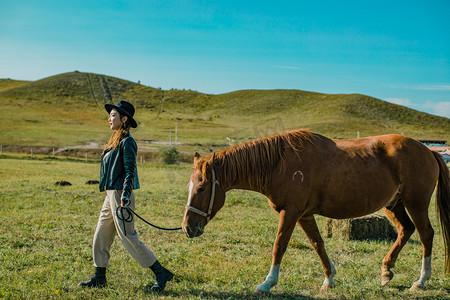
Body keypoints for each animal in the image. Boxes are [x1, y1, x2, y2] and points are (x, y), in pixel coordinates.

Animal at [180, 129, 450, 292]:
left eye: (202, 188)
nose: (187, 227)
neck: (279, 163)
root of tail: (429, 151)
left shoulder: (290, 212)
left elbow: (280, 245)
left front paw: (268, 283)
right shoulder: (305, 215)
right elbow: (318, 244)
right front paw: (329, 278)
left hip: (416, 203)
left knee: (426, 234)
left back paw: (421, 280)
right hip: (394, 204)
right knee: (406, 230)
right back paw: (386, 271)